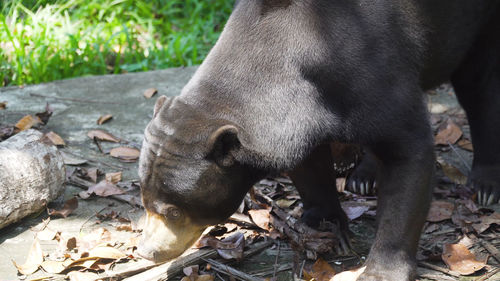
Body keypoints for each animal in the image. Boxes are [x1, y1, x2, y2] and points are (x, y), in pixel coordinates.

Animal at [137, 1, 500, 278]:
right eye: (144, 201)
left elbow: (409, 152)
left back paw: (485, 186)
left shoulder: (374, 72)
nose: (145, 251)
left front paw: (382, 271)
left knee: (480, 89)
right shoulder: (298, 118)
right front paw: (329, 228)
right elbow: (308, 165)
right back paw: (364, 179)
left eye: (174, 212)